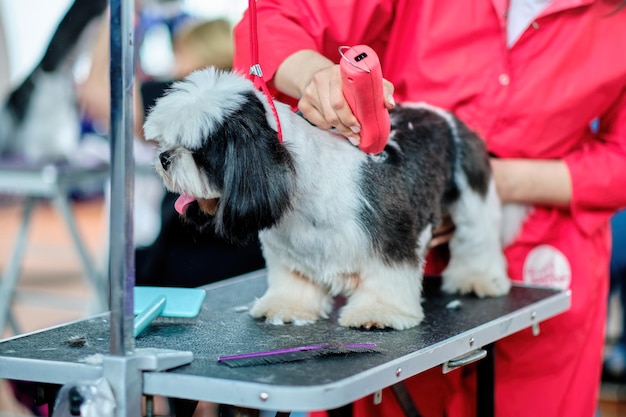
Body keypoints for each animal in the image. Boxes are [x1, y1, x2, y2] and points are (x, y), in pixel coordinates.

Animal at [144, 67, 510, 328]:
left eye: (198, 150)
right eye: (168, 141)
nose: (164, 157)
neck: (302, 192)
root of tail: (442, 116)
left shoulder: (390, 241)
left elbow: (387, 279)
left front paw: (378, 313)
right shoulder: (290, 253)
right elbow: (293, 281)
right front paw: (287, 307)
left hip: (472, 198)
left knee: (477, 240)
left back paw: (478, 279)